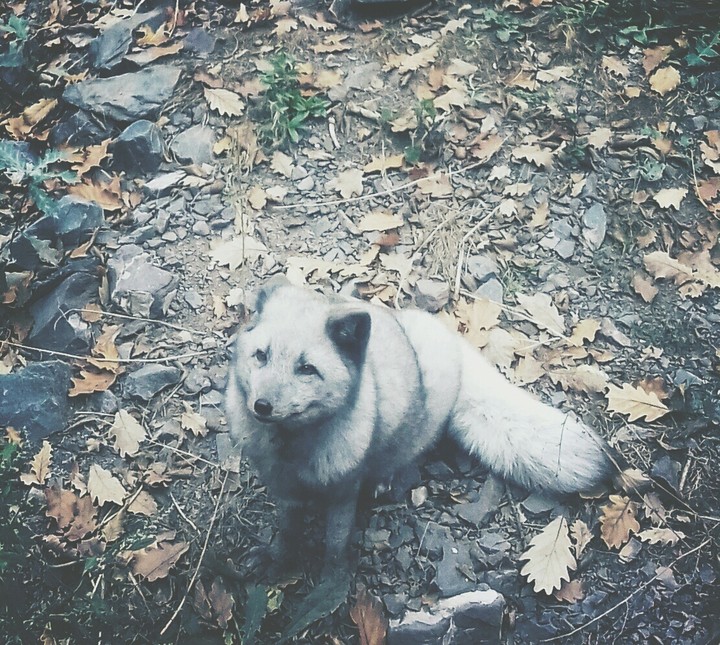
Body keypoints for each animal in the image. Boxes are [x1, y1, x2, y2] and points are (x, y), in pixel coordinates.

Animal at [226, 278, 614, 576]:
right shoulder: (285, 493)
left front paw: (331, 583)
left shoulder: (343, 493)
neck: (292, 452)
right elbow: (287, 533)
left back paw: (383, 480)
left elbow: (336, 544)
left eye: (307, 369)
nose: (261, 406)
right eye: (261, 356)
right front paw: (278, 560)